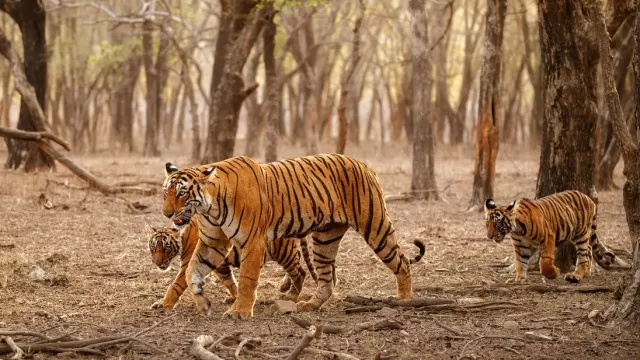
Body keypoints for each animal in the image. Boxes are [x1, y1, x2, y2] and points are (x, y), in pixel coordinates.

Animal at [147, 217, 318, 310]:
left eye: (166, 247)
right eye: (153, 247)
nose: (156, 262)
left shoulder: (189, 264)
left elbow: (175, 285)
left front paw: (164, 304)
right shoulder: (218, 263)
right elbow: (229, 281)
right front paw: (235, 297)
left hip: (283, 252)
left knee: (300, 272)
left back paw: (292, 295)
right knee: (297, 265)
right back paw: (285, 287)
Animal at [484, 190, 616, 282]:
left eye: (497, 224)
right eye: (487, 224)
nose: (489, 237)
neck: (517, 229)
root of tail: (588, 198)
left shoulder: (548, 237)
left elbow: (545, 262)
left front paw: (554, 273)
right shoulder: (521, 246)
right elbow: (520, 262)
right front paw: (519, 279)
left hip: (581, 233)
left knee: (583, 254)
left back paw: (576, 275)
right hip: (575, 234)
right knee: (588, 248)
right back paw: (587, 272)